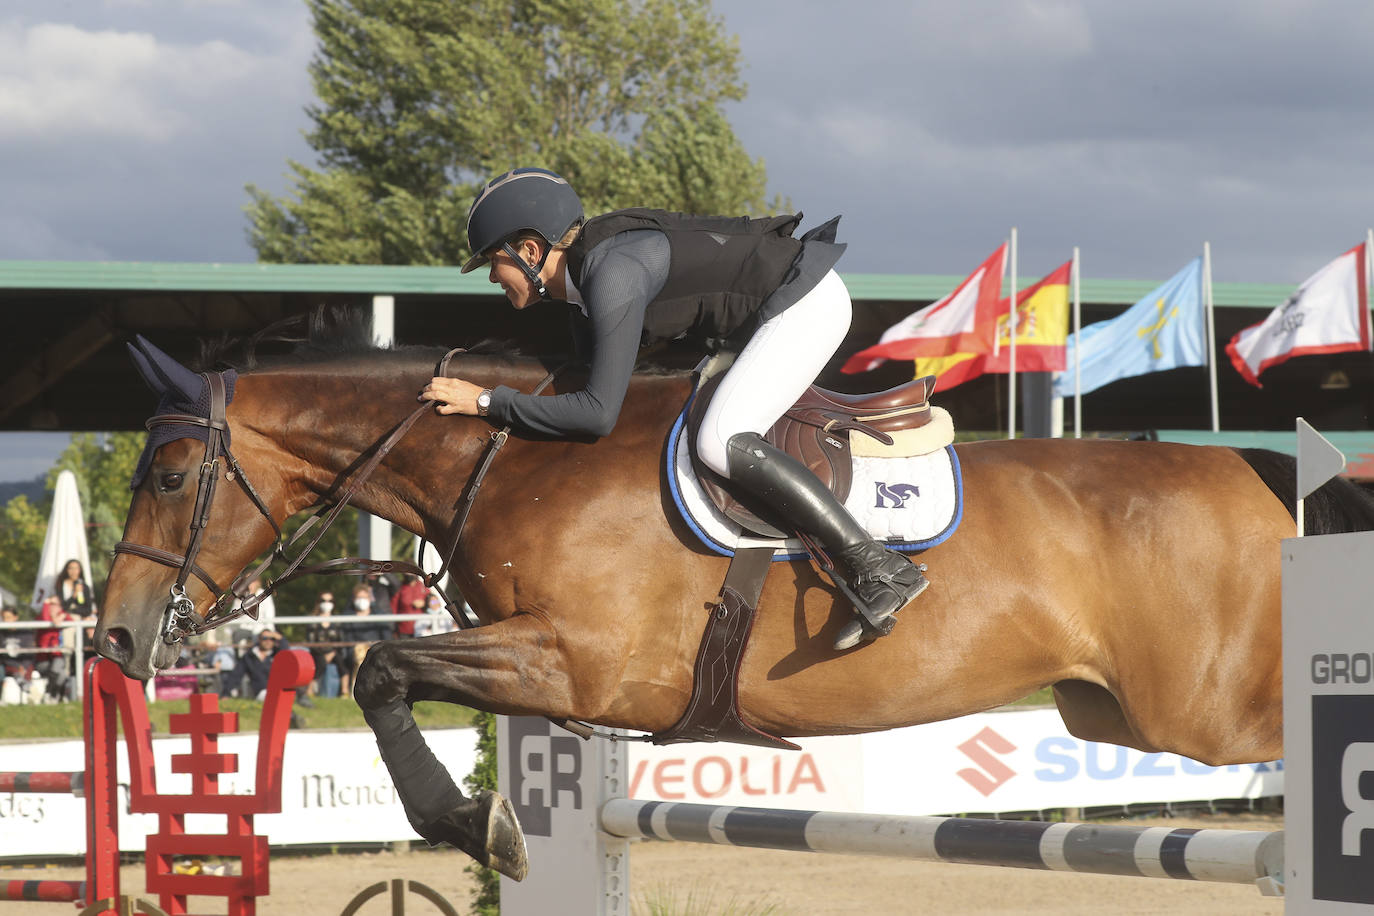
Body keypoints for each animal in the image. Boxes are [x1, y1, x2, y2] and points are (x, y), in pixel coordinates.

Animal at [95, 327, 1374, 881]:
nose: (114, 635)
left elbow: (377, 668)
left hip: (1201, 708)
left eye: (166, 474)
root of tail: (1258, 467)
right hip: (1113, 708)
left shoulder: (579, 662)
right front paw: (488, 819)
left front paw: (478, 825)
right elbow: (389, 676)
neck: (509, 455)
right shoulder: (556, 672)